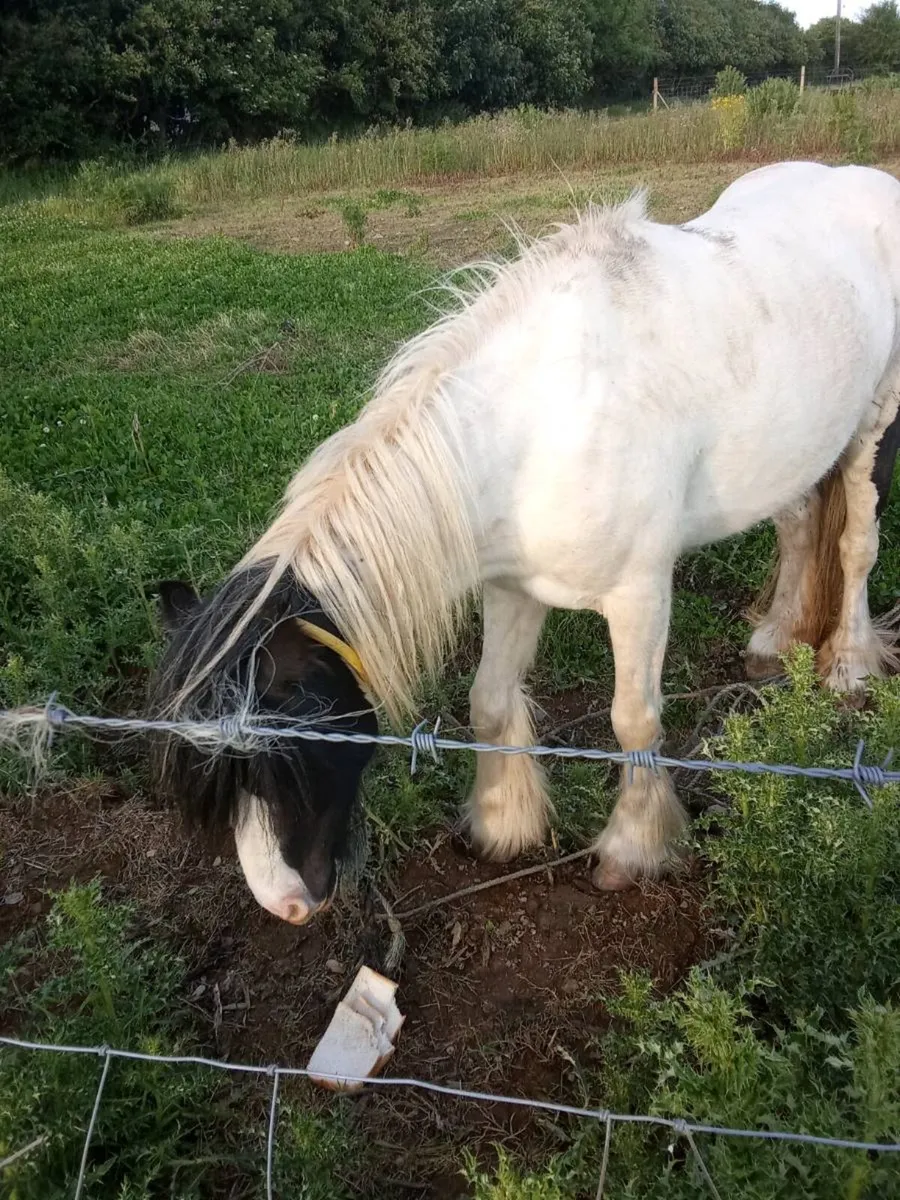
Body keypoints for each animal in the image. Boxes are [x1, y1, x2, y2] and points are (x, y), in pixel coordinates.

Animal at [151, 161, 900, 926]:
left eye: (290, 749)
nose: (287, 905)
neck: (538, 429)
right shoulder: (512, 585)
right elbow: (487, 699)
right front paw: (499, 826)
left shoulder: (639, 595)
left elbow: (634, 723)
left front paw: (631, 851)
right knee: (799, 523)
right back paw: (774, 641)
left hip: (874, 427)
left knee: (855, 546)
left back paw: (847, 666)